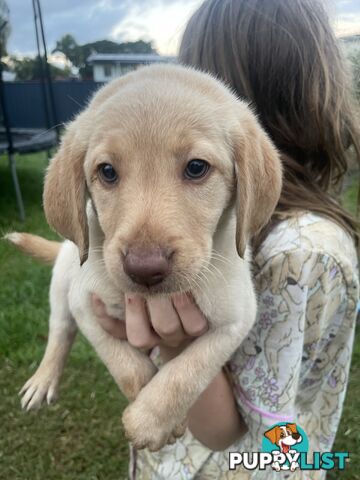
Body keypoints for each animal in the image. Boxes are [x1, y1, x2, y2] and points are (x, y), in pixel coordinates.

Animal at [7, 65, 282, 452]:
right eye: (107, 172)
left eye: (196, 167)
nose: (145, 269)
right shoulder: (85, 302)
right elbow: (127, 366)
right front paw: (160, 417)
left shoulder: (236, 318)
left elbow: (188, 371)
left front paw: (151, 420)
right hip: (63, 280)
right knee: (60, 331)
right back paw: (44, 379)